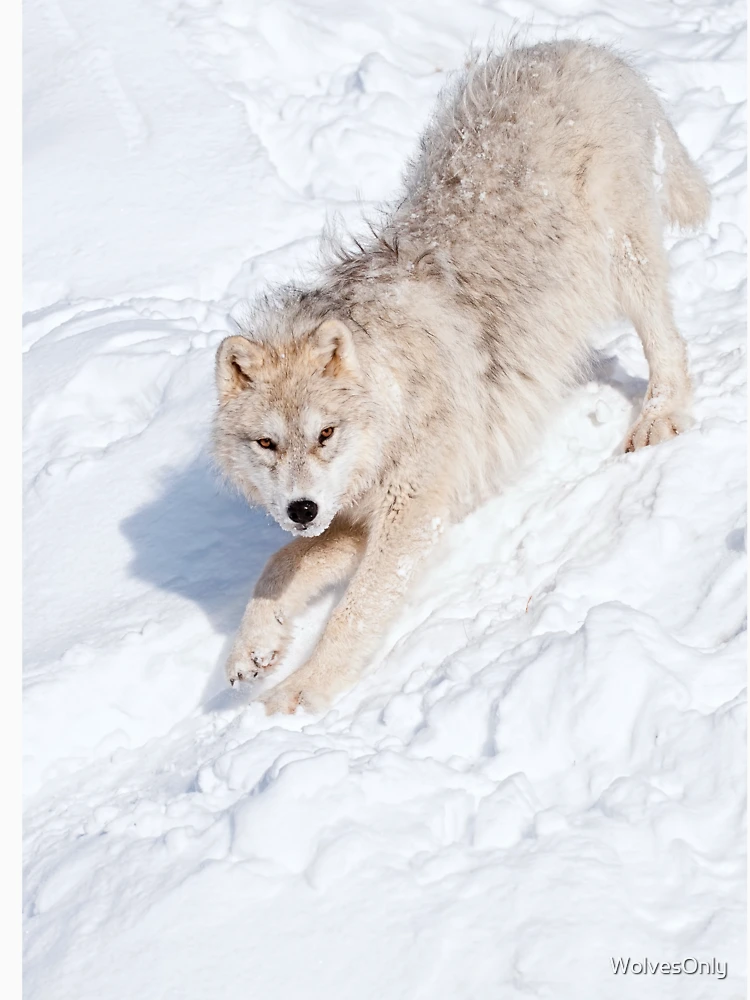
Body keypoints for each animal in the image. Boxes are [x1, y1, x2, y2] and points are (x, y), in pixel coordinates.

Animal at [212, 39, 709, 714]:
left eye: (325, 434)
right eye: (267, 443)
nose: (301, 507)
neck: (395, 392)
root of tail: (580, 48)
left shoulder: (411, 515)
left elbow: (353, 615)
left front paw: (298, 697)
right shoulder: (361, 515)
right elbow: (280, 562)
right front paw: (254, 649)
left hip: (622, 258)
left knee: (668, 342)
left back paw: (659, 419)